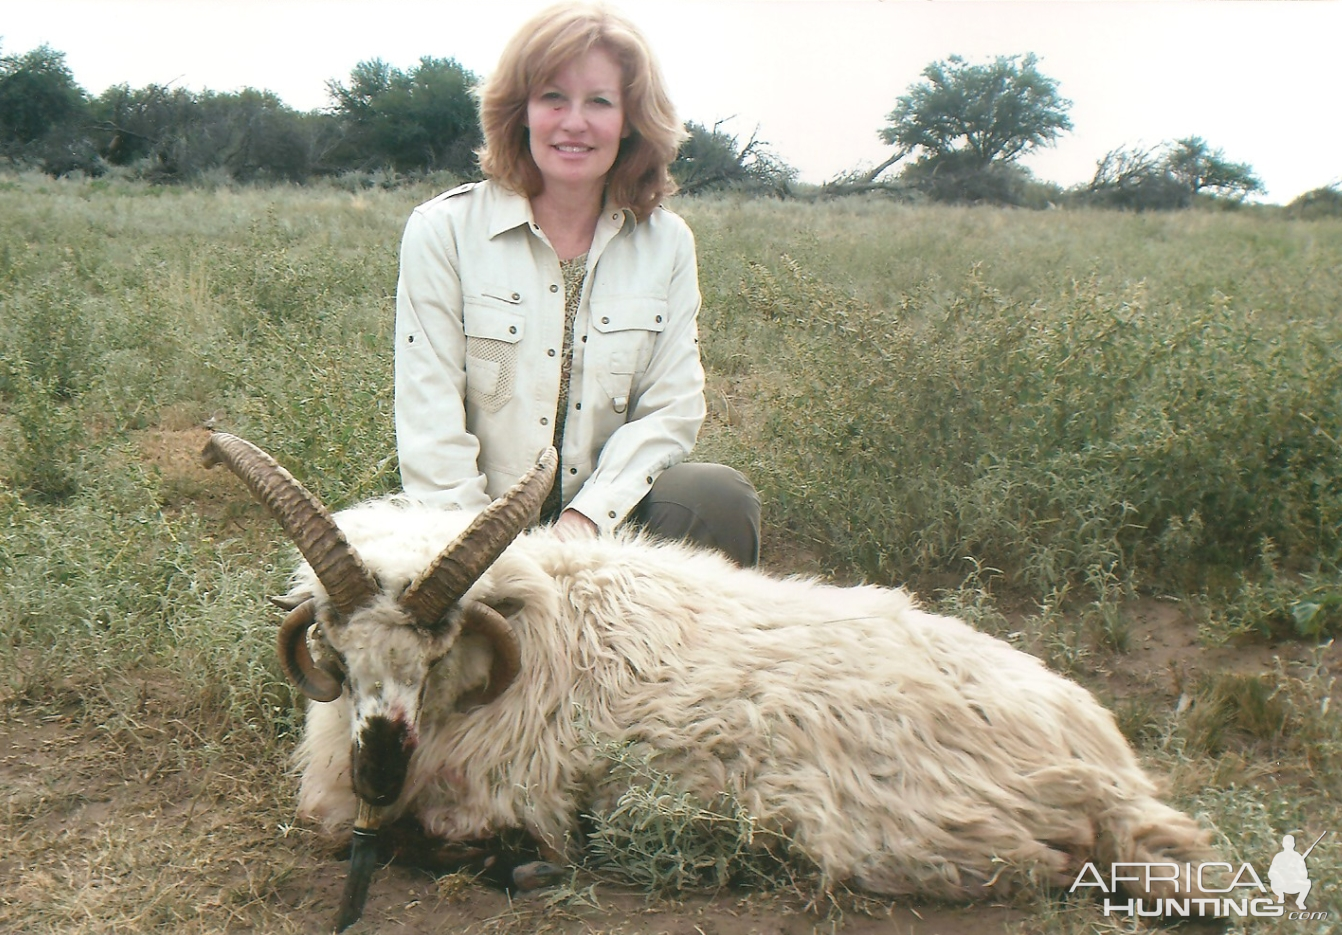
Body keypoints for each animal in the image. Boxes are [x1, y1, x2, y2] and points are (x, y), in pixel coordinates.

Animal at [203, 431, 1223, 928]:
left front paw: (529, 861)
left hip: (935, 834)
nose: (378, 771)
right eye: (338, 655)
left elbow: (443, 844)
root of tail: (1104, 761)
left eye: (439, 650)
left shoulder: (503, 795)